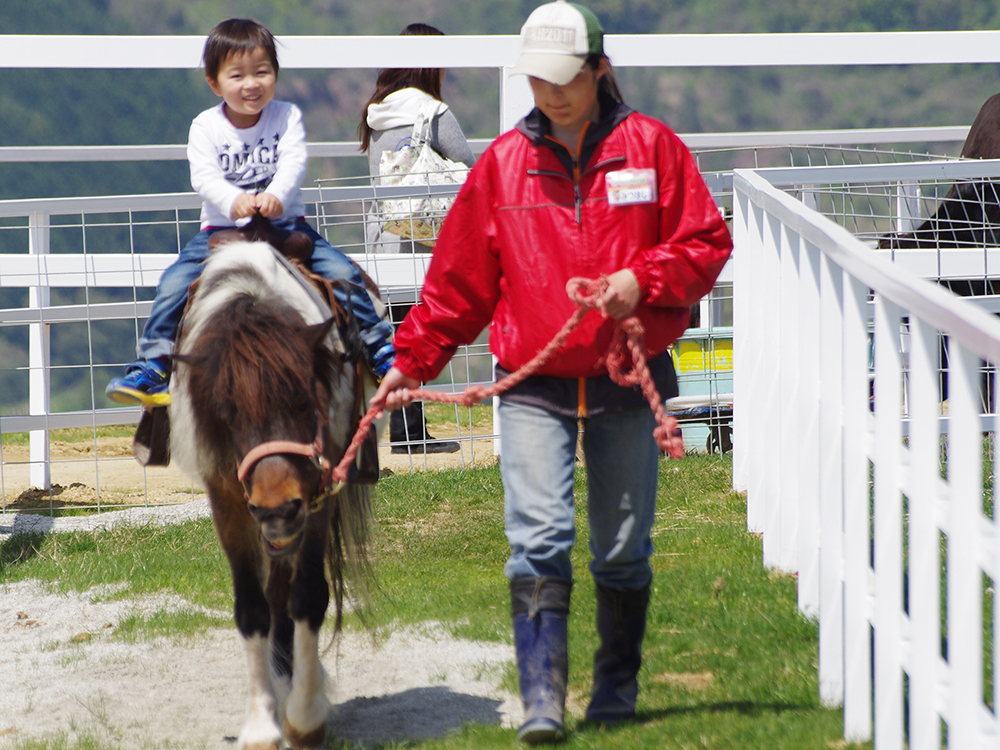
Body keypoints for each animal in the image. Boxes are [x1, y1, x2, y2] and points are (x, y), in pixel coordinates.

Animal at [168, 241, 376, 750]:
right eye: (227, 413)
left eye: (304, 400)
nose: (278, 509)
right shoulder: (227, 501)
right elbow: (251, 610)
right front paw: (263, 723)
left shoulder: (317, 496)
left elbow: (308, 598)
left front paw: (304, 716)